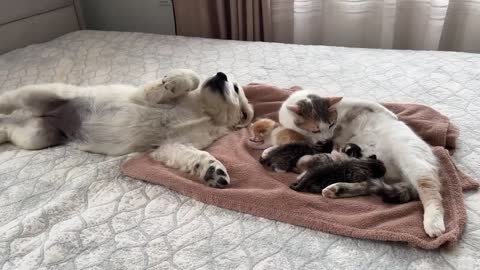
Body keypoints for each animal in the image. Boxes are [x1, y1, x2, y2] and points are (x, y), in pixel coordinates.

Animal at [264, 89, 444, 237]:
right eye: (315, 129)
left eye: (331, 124)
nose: (328, 138)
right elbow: (301, 142)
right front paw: (271, 151)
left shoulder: (347, 103)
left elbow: (370, 103)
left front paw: (391, 113)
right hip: (371, 170)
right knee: (370, 184)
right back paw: (337, 189)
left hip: (412, 160)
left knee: (430, 191)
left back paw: (433, 223)